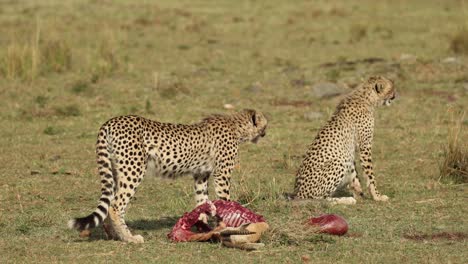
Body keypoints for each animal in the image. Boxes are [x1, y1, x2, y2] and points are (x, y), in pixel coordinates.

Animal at [67, 109, 268, 243]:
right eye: (265, 124)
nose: (266, 132)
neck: (236, 126)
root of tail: (111, 121)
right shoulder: (222, 174)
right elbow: (225, 201)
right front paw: (228, 226)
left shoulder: (201, 175)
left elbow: (202, 201)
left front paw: (203, 226)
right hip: (133, 169)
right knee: (116, 206)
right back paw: (130, 238)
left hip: (116, 170)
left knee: (109, 202)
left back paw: (113, 235)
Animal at [294, 76, 396, 204]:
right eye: (391, 88)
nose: (395, 95)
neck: (365, 98)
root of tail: (298, 194)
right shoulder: (365, 146)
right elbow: (370, 175)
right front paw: (377, 196)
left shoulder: (350, 150)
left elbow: (354, 174)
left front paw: (359, 193)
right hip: (338, 162)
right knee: (320, 199)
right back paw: (346, 200)